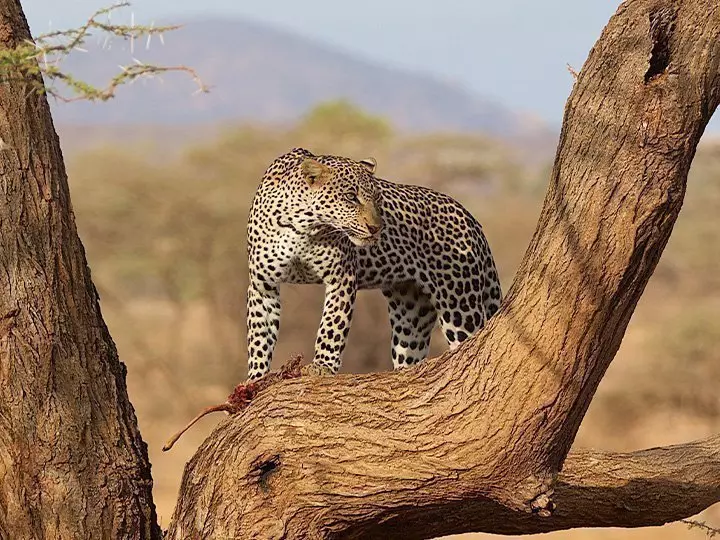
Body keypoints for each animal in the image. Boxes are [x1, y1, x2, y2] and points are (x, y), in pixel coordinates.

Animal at [245, 147, 502, 380]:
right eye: (351, 197)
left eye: (377, 199)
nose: (376, 228)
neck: (302, 226)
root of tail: (471, 219)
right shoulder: (262, 285)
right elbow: (259, 336)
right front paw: (255, 378)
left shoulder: (342, 277)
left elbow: (332, 326)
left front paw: (322, 366)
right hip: (411, 315)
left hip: (460, 305)